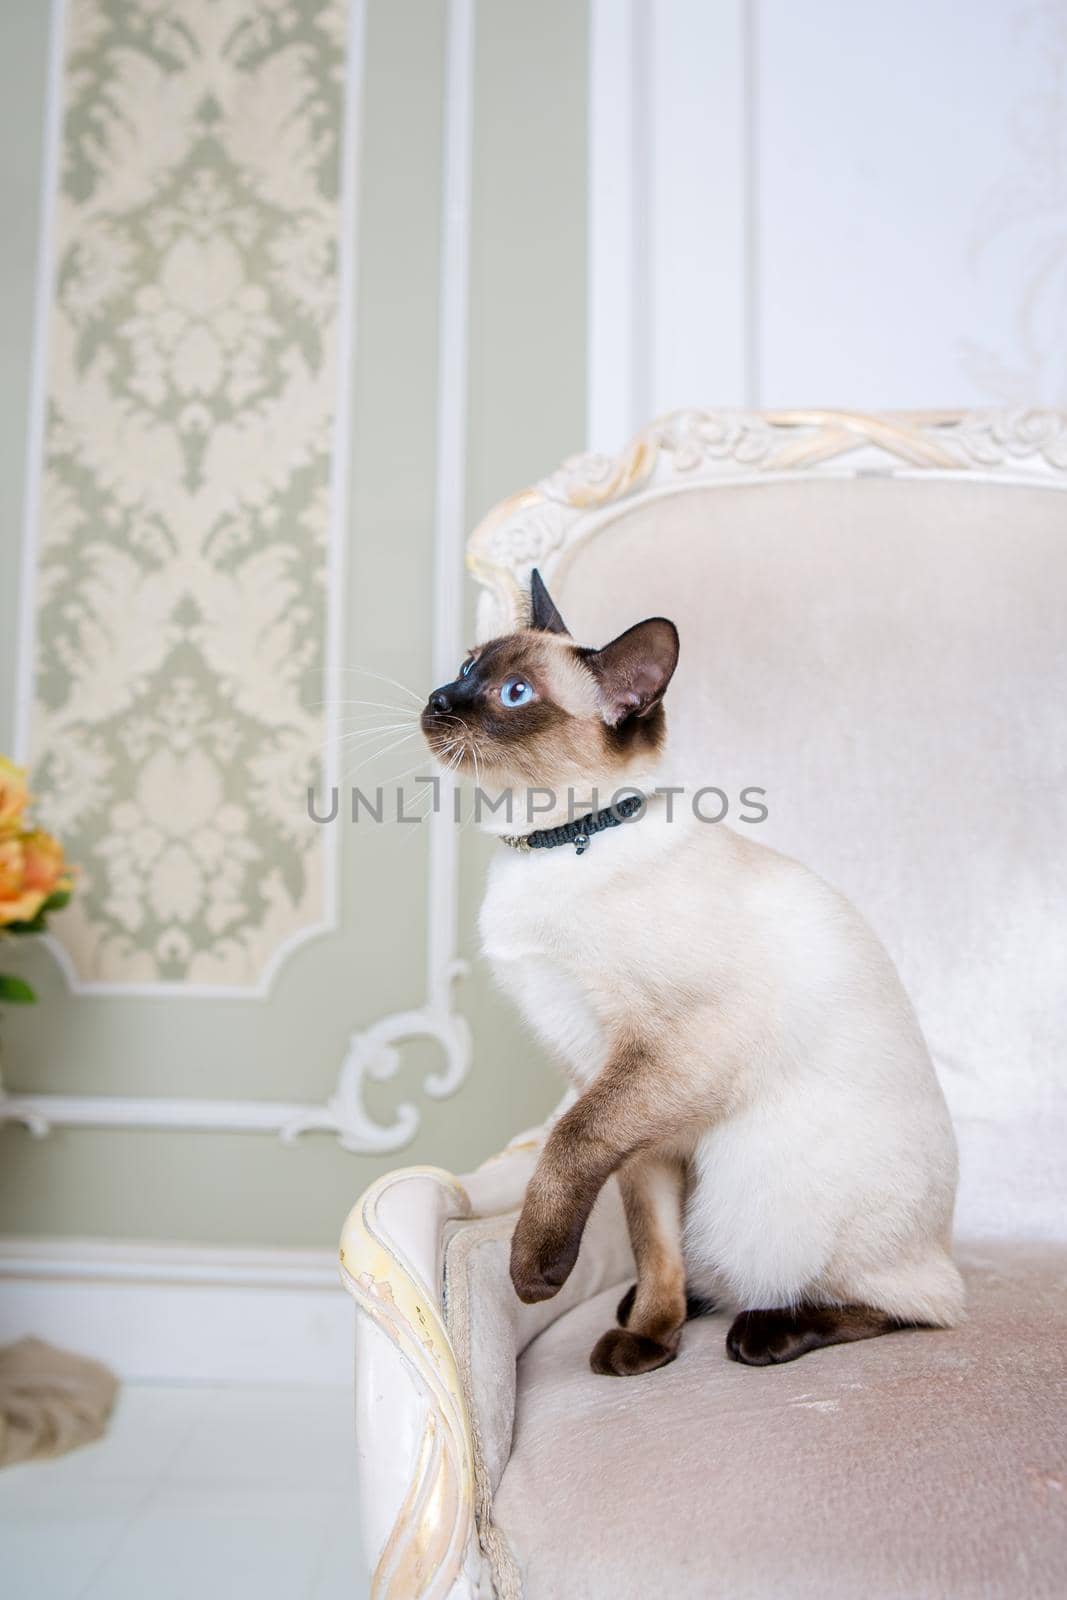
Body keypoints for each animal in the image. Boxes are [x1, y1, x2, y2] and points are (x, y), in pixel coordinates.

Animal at [422, 572, 966, 1376]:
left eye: (514, 694)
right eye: (466, 667)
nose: (437, 698)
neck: (556, 844)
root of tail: (945, 1240)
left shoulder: (662, 1062)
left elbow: (564, 1150)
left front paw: (535, 1271)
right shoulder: (622, 1103)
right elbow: (652, 1244)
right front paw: (651, 1339)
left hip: (745, 1189)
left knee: (916, 1307)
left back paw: (766, 1331)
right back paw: (665, 1311)